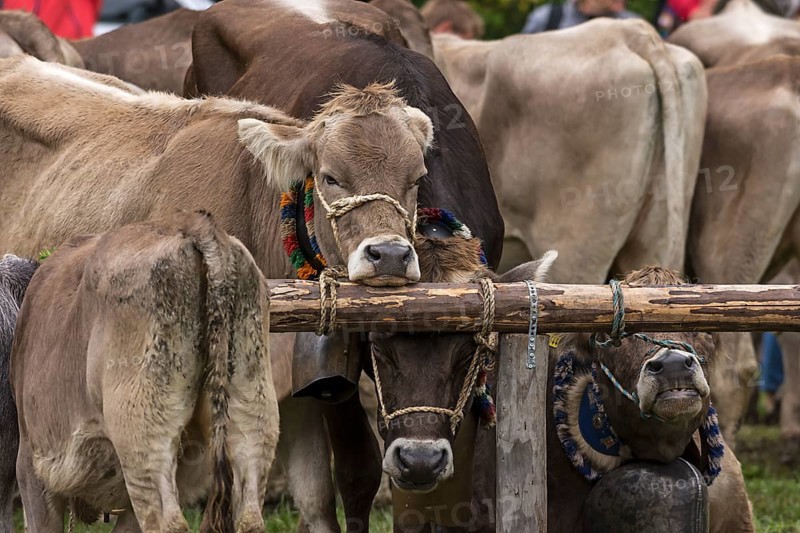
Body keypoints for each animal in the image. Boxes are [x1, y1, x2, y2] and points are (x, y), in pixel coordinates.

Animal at [11, 212, 278, 532]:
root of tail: (194, 227)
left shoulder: (31, 460)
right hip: (253, 413)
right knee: (250, 515)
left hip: (142, 437)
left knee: (166, 521)